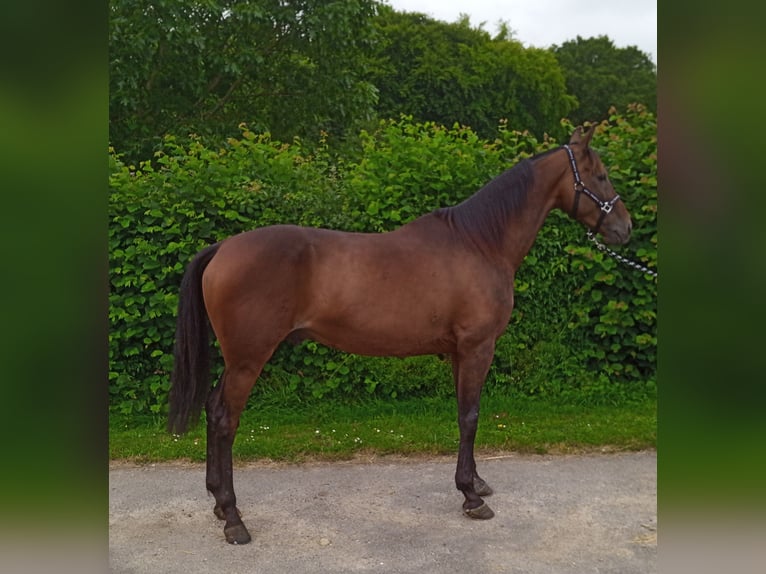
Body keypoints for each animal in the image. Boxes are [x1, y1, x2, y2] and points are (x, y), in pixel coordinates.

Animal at [168, 126, 636, 544]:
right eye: (600, 175)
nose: (625, 228)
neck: (479, 242)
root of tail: (223, 248)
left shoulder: (457, 353)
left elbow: (464, 415)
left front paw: (476, 483)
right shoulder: (477, 348)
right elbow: (471, 416)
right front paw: (471, 498)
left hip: (237, 361)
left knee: (212, 409)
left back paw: (217, 504)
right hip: (248, 359)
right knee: (225, 419)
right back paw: (233, 518)